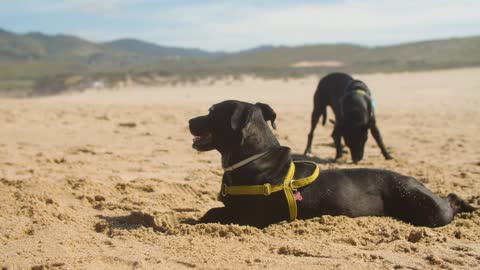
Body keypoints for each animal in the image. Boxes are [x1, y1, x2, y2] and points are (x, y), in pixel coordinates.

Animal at [188, 100, 476, 229]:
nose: (189, 120)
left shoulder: (249, 218)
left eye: (212, 112)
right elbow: (213, 211)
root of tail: (416, 181)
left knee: (448, 204)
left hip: (430, 213)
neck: (255, 158)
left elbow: (214, 214)